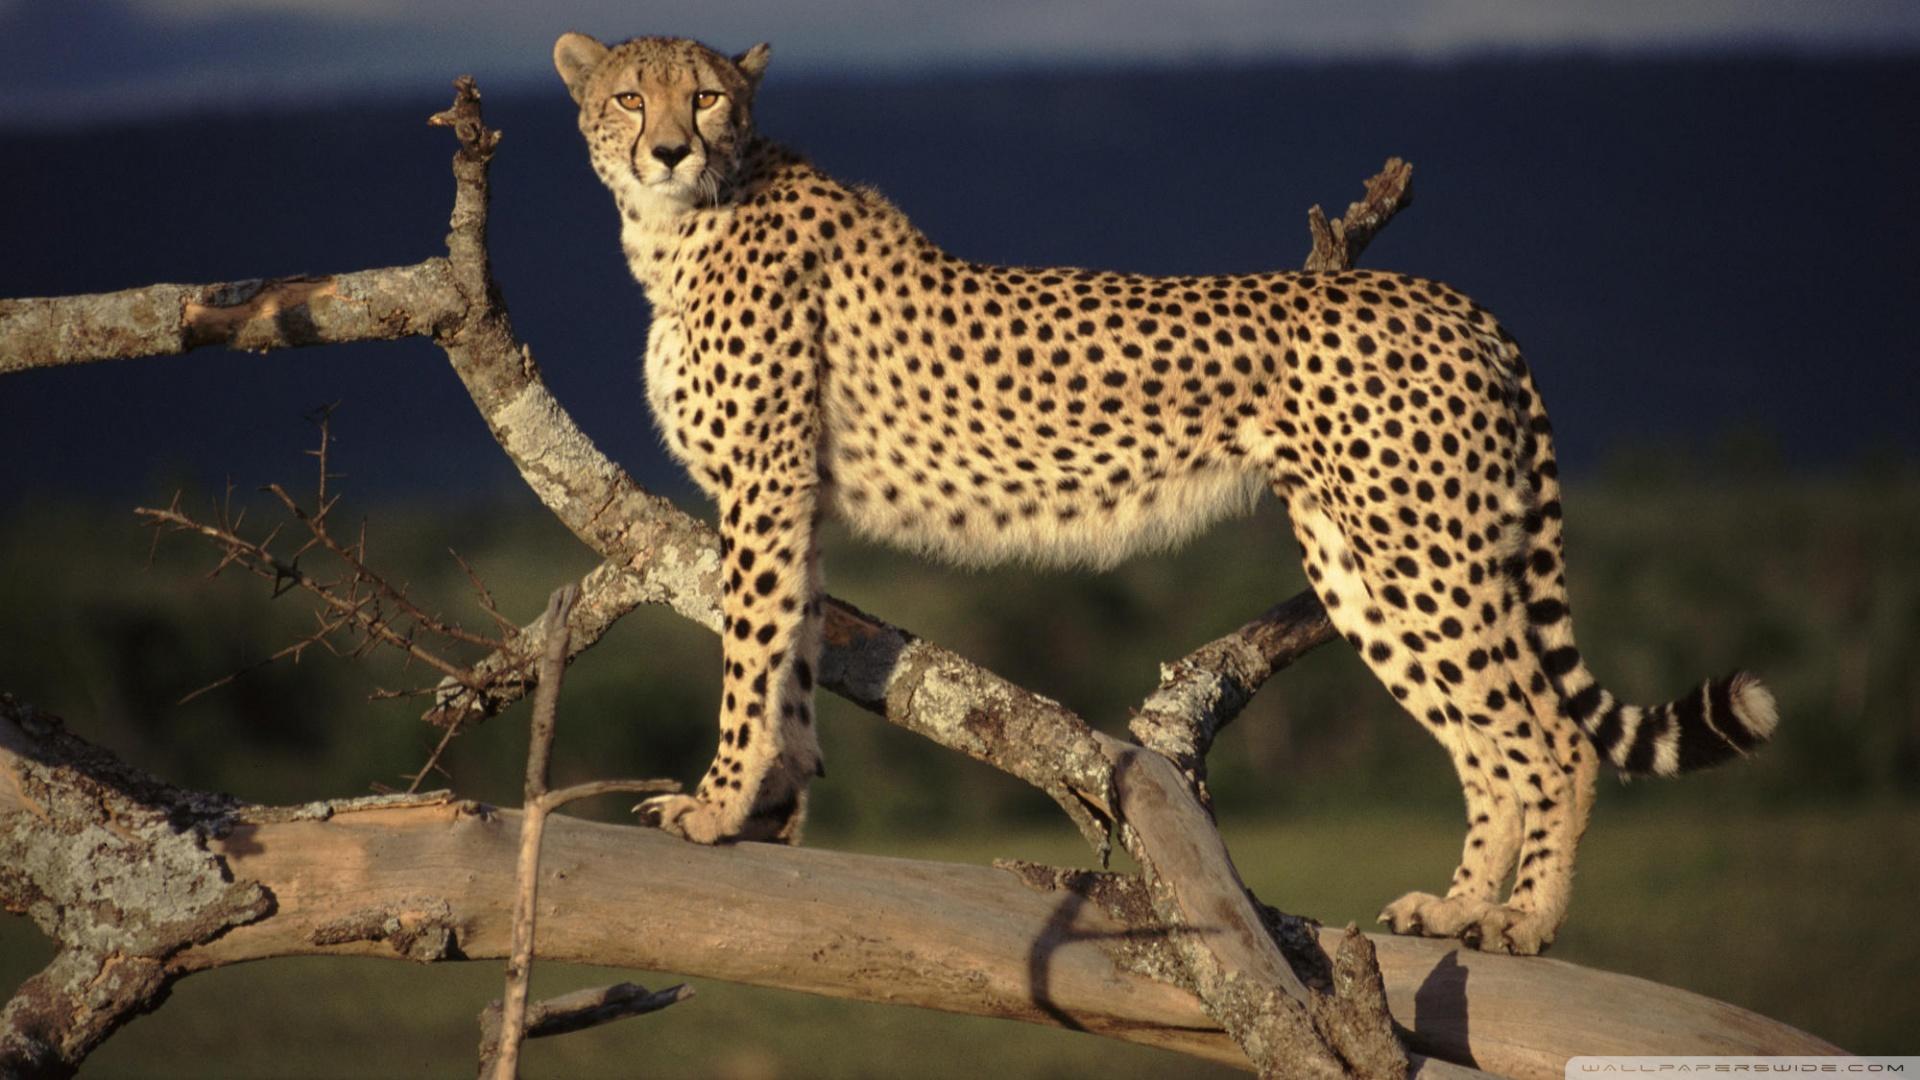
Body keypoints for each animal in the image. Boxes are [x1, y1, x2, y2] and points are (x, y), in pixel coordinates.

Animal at [552, 31, 1778, 954]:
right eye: (630, 96)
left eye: (707, 95)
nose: (668, 149)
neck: (686, 222)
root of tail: (1448, 296)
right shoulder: (793, 496)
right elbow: (792, 653)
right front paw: (768, 808)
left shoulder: (763, 486)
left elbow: (750, 652)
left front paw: (716, 805)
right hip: (1365, 569)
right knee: (1489, 748)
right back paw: (1459, 907)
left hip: (1423, 553)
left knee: (1550, 741)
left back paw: (1523, 924)